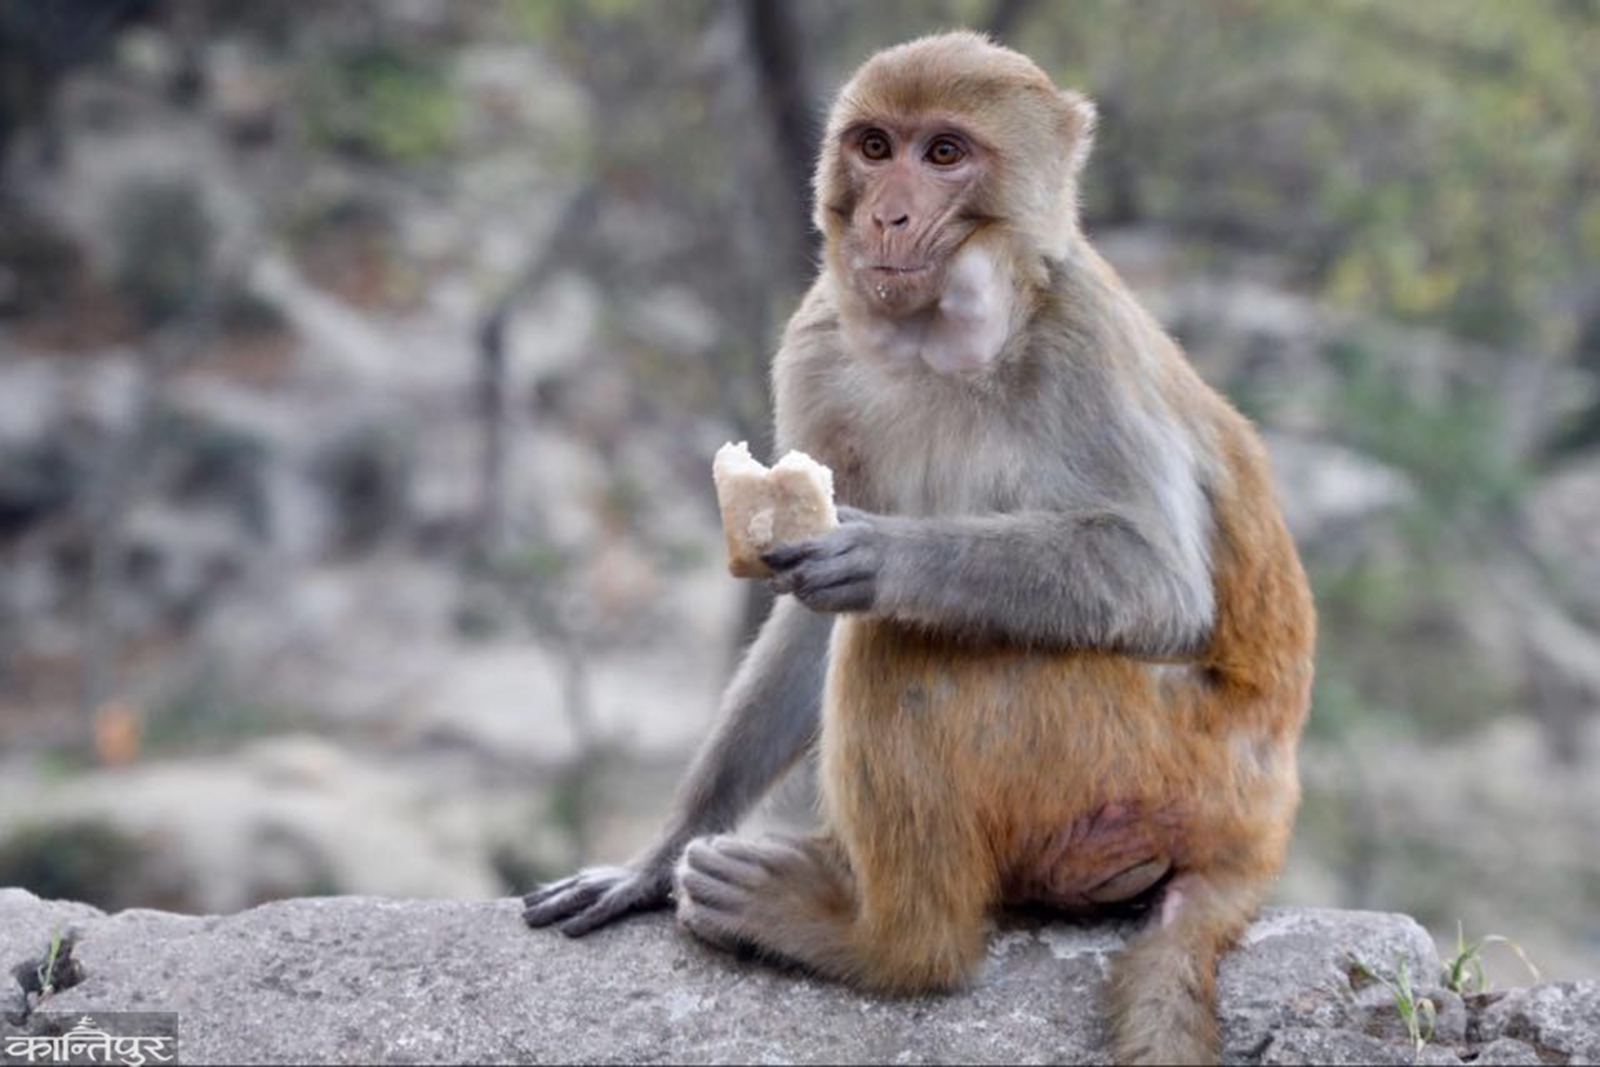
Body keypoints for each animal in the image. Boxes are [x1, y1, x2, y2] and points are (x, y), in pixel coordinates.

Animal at [524, 33, 1312, 1067]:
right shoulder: (816, 340)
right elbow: (804, 622)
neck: (944, 341)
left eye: (944, 154)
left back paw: (887, 941)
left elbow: (1161, 581)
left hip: (1149, 760)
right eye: (874, 147)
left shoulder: (1083, 343)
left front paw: (883, 554)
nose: (887, 214)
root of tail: (1266, 810)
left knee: (899, 645)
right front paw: (653, 859)